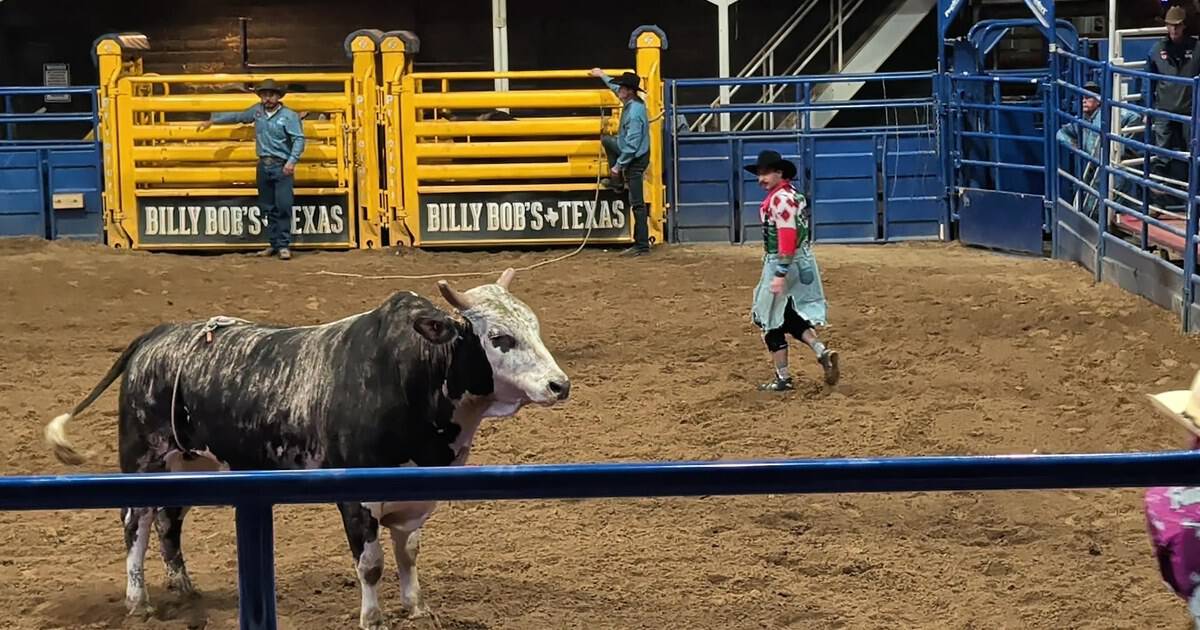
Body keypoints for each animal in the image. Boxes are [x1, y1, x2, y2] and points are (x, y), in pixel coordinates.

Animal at [43, 269, 569, 630]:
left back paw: (184, 589)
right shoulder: (357, 497)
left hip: (189, 464)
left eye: (535, 327)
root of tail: (156, 337)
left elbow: (409, 552)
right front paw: (373, 618)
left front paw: (417, 609)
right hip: (144, 458)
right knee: (136, 523)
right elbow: (372, 564)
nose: (559, 385)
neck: (410, 374)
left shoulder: (415, 497)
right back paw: (139, 603)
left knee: (169, 522)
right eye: (500, 338)